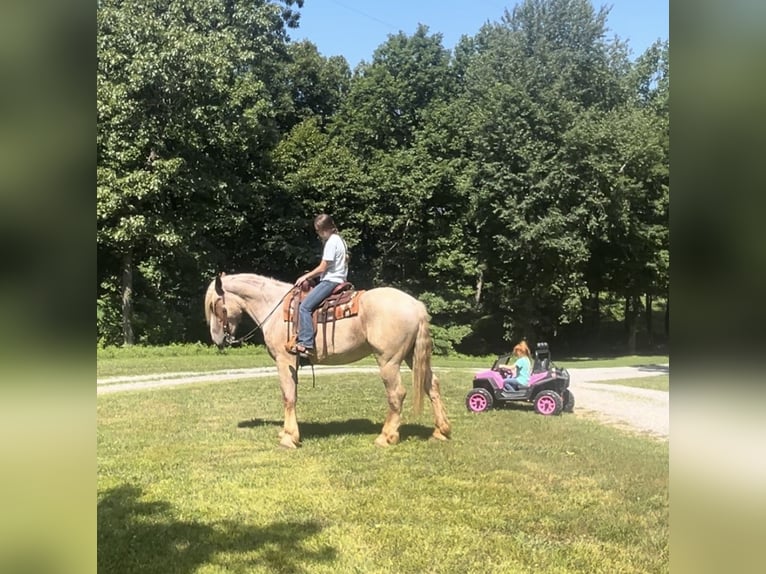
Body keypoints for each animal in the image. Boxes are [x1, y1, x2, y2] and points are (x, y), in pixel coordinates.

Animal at [207, 272, 452, 452]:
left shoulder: (284, 360)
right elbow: (292, 395)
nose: (217, 339)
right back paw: (441, 431)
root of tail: (416, 305)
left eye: (215, 305)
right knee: (432, 386)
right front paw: (287, 432)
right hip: (413, 357)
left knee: (397, 394)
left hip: (388, 361)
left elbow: (288, 396)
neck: (274, 308)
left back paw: (386, 437)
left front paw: (289, 438)